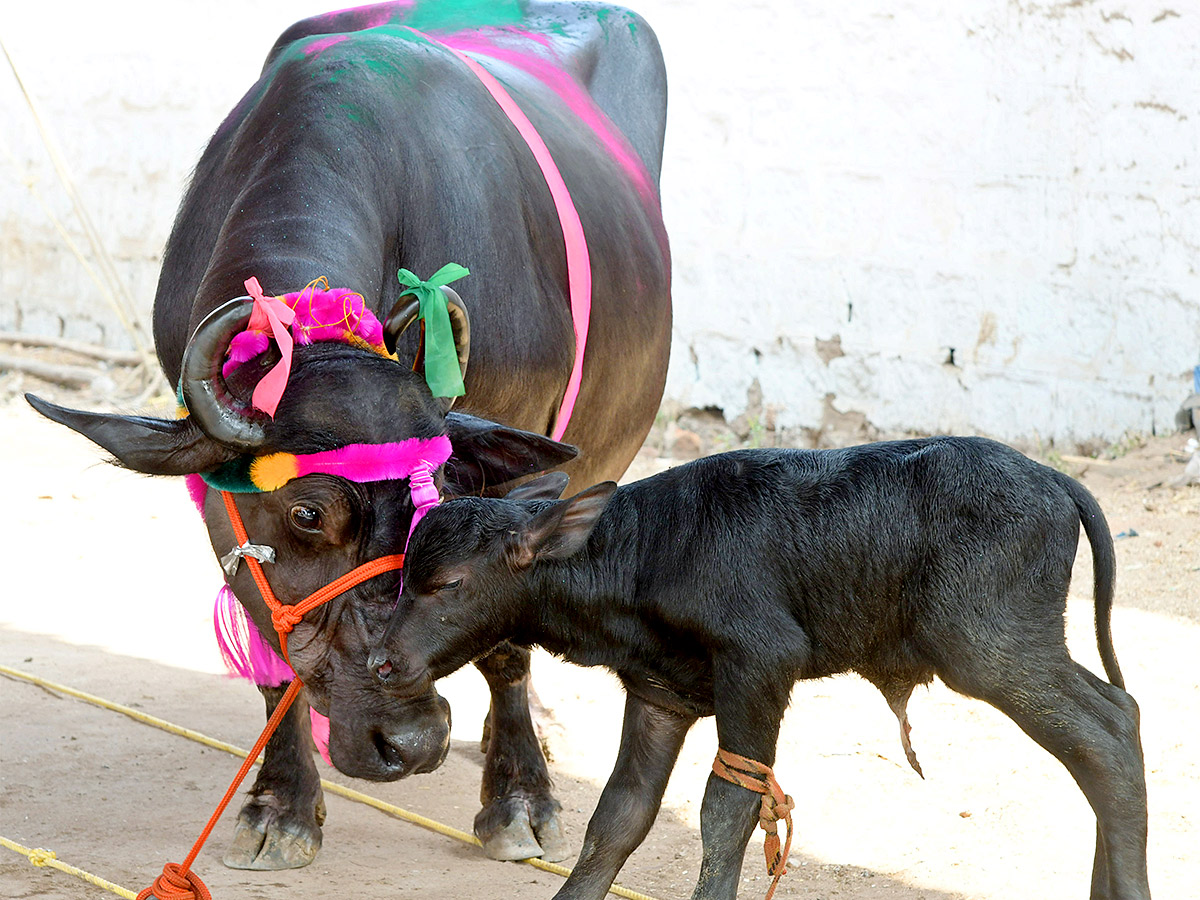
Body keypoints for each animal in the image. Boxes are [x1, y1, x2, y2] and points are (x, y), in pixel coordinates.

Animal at [28, 0, 672, 873]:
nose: (414, 740)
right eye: (306, 514)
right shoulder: (221, 505)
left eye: (440, 501)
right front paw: (282, 804)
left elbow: (507, 640)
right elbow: (272, 654)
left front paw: (519, 802)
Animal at [376, 439, 1152, 900]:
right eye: (408, 572)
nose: (384, 661)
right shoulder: (660, 693)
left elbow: (727, 810)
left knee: (1108, 734)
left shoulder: (761, 664)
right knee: (1114, 722)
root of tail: (1054, 479)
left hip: (990, 646)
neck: (647, 551)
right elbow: (620, 817)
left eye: (446, 584)